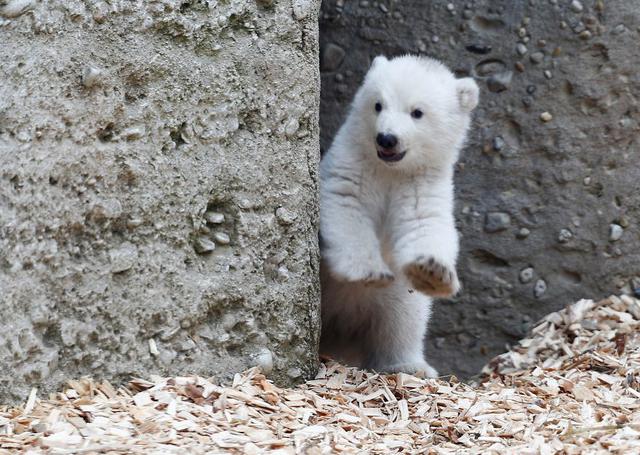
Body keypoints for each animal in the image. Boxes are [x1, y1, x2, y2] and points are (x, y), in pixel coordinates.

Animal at [319, 55, 479, 377]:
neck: (389, 170)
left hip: (395, 297)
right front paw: (367, 271)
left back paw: (409, 366)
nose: (387, 139)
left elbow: (425, 224)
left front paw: (433, 271)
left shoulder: (420, 182)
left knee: (402, 320)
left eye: (417, 112)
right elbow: (346, 207)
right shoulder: (350, 167)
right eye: (378, 104)